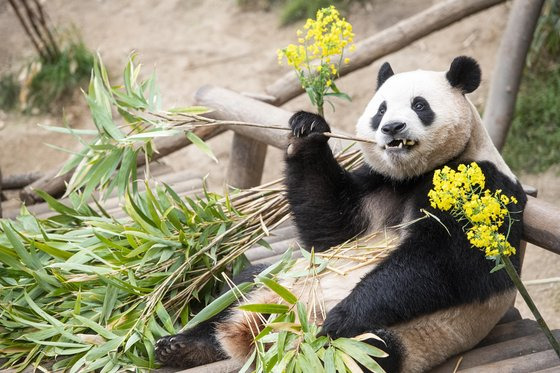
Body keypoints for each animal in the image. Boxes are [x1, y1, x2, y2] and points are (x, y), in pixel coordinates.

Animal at [153, 56, 524, 372]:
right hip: (279, 276)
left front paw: (340, 317)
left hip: (403, 340)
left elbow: (439, 261)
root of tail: (264, 328)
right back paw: (182, 346)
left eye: (420, 105)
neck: (412, 175)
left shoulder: (477, 185)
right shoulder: (378, 183)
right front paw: (307, 129)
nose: (392, 127)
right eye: (381, 109)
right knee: (238, 287)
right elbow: (330, 227)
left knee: (366, 350)